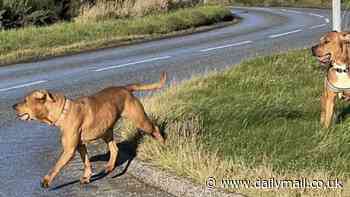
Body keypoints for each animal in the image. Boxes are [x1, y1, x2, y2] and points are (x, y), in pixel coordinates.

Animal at [13, 72, 166, 188]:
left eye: (25, 100)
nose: (13, 106)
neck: (63, 111)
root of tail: (125, 88)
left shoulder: (69, 150)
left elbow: (56, 165)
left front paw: (46, 180)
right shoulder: (80, 145)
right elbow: (86, 162)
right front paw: (86, 177)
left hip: (139, 120)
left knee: (155, 128)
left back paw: (162, 144)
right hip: (105, 131)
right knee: (114, 149)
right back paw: (109, 167)